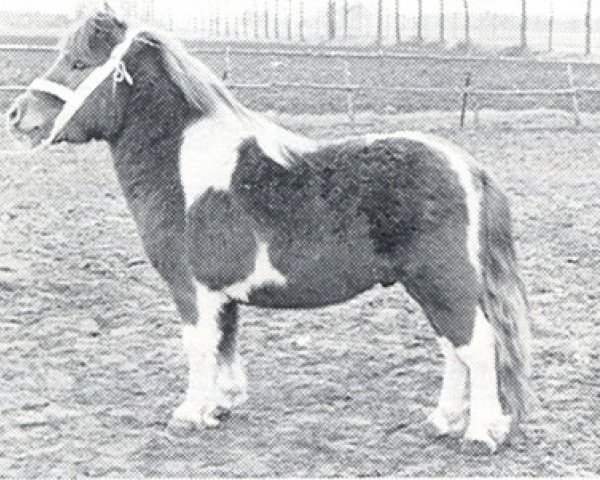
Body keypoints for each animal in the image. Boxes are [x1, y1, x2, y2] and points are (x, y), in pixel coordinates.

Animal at [3, 7, 528, 454]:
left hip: (444, 282)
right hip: (432, 286)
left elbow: (198, 345)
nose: (16, 115)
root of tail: (467, 166)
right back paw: (443, 420)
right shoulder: (220, 292)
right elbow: (223, 341)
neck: (184, 168)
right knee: (453, 347)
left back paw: (480, 433)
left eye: (77, 63)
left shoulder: (190, 288)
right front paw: (219, 405)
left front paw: (189, 414)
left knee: (477, 346)